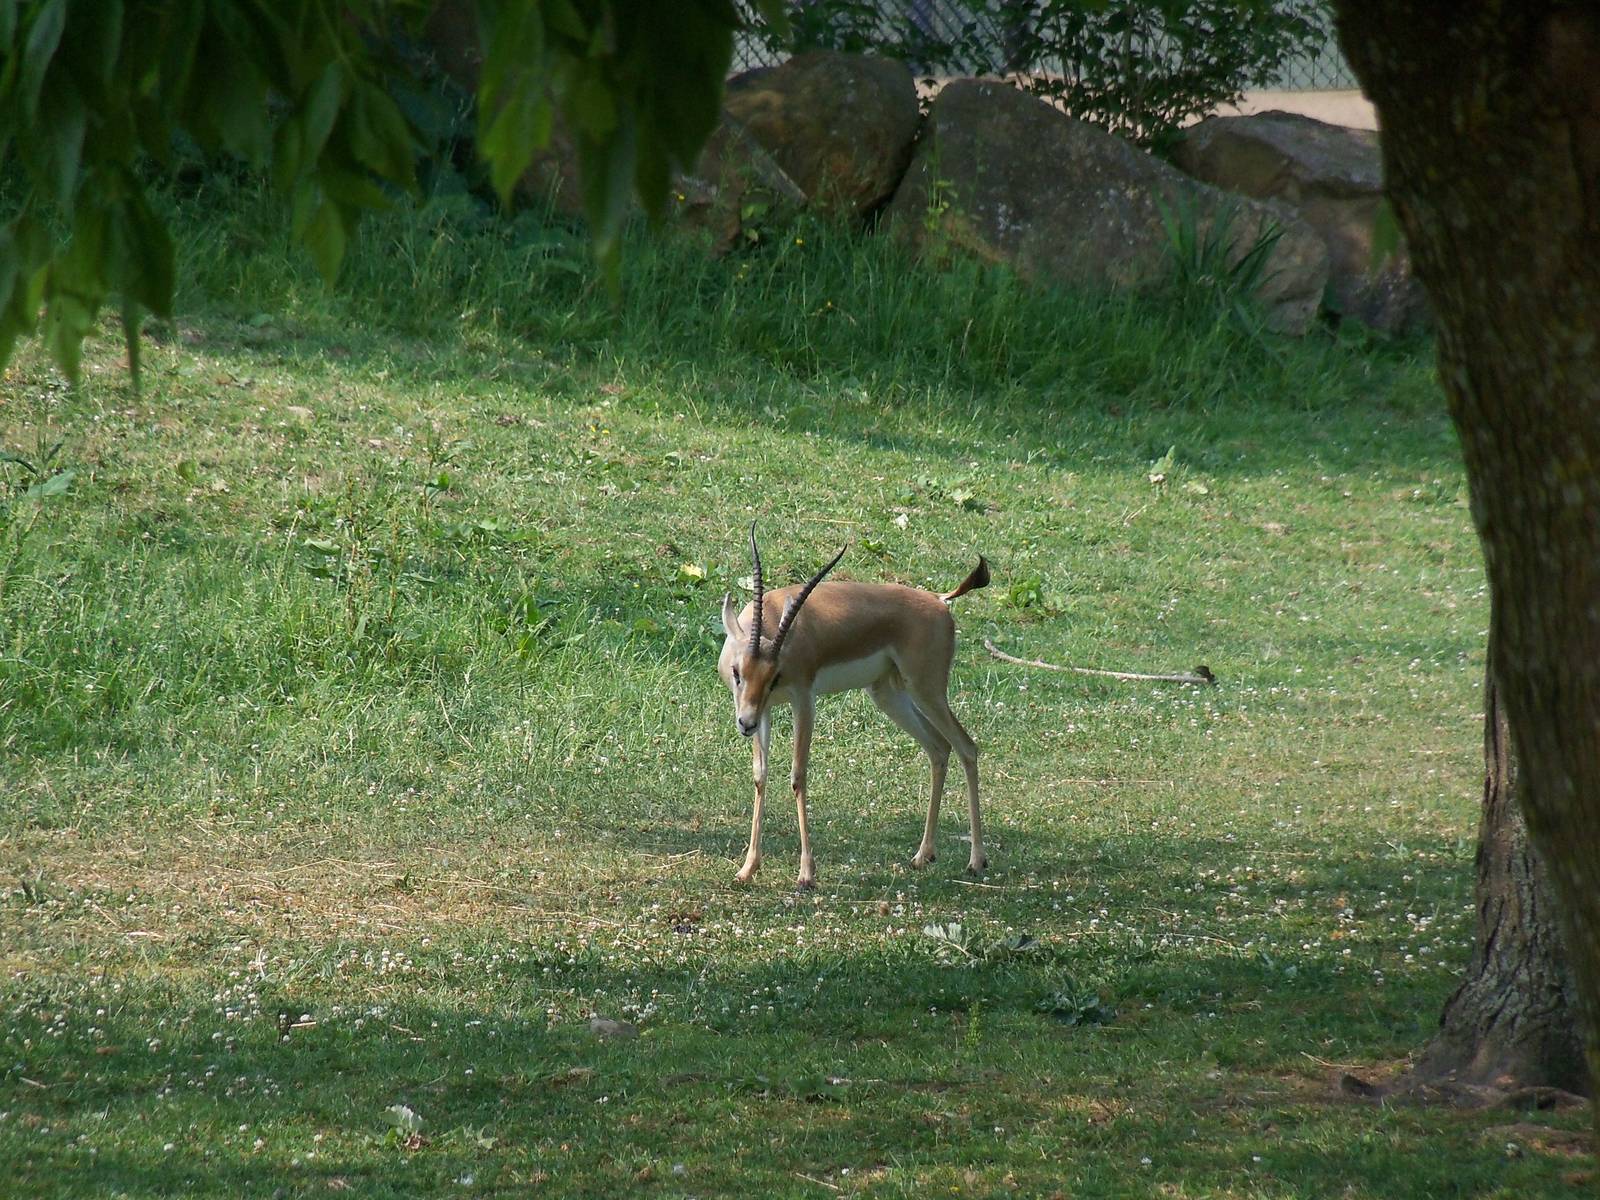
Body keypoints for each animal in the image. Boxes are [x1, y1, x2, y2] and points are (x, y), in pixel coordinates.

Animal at [717, 524, 991, 889]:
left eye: (775, 676)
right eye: (737, 672)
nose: (744, 724)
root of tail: (938, 600)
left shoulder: (803, 701)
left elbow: (798, 775)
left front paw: (806, 874)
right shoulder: (763, 708)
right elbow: (760, 775)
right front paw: (747, 868)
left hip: (927, 689)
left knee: (966, 747)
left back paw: (976, 861)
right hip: (888, 694)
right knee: (939, 748)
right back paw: (923, 855)